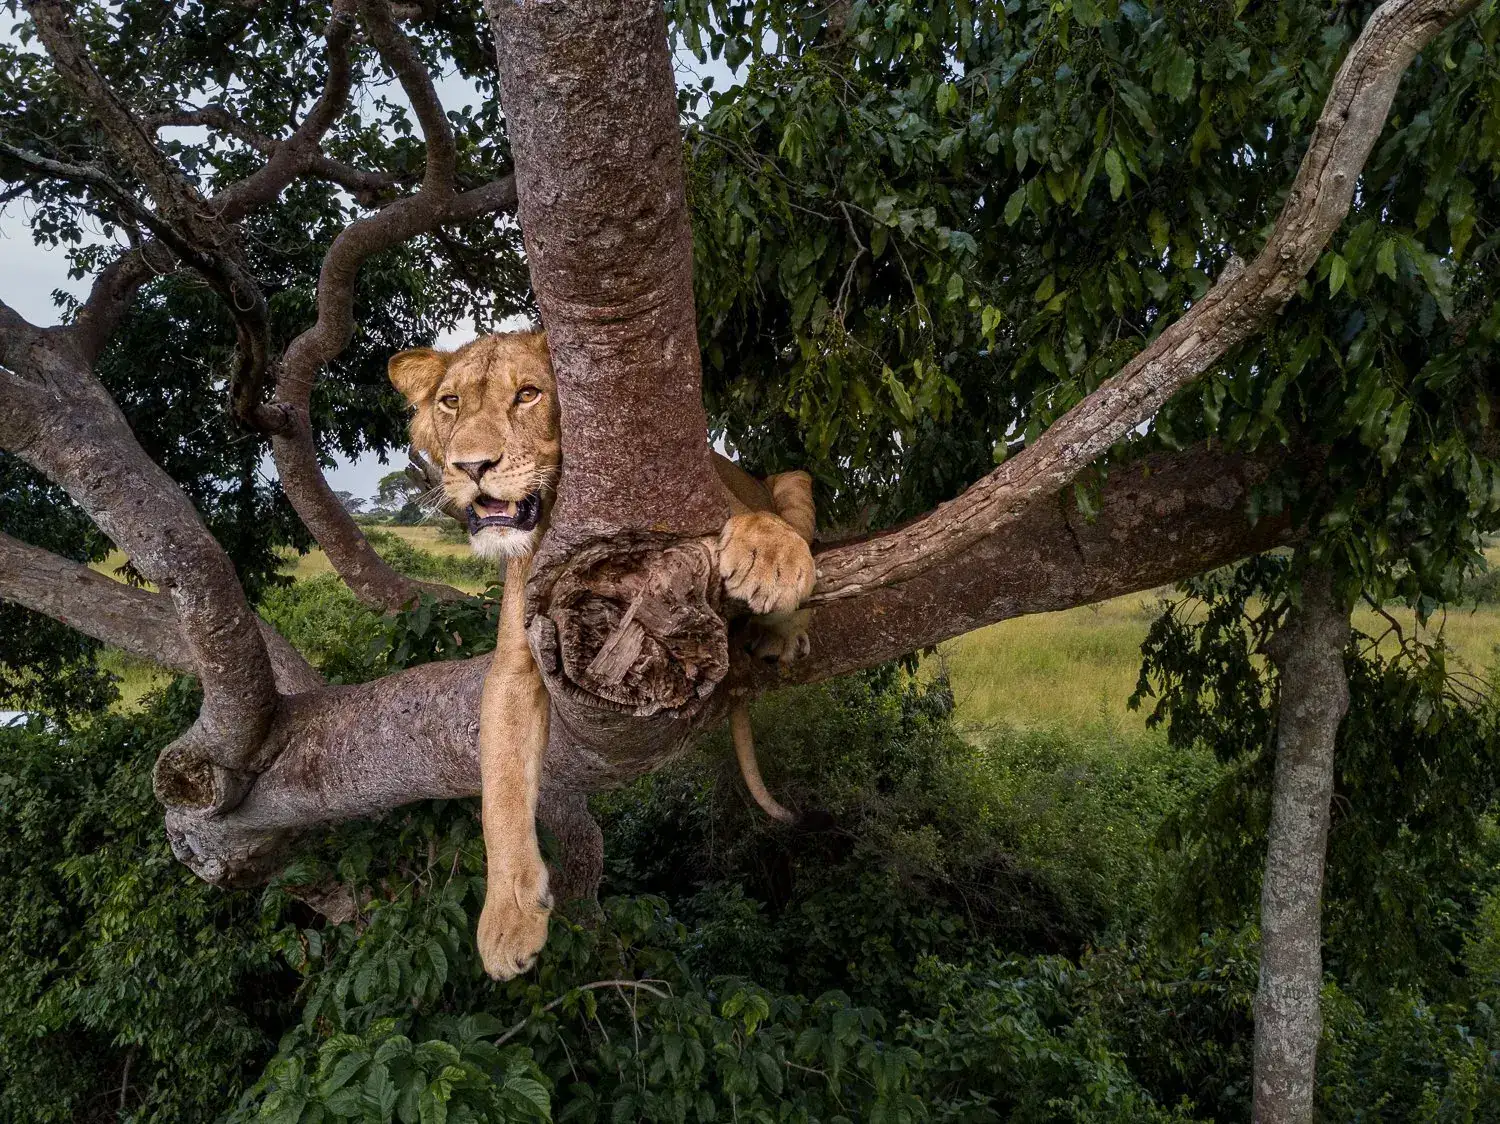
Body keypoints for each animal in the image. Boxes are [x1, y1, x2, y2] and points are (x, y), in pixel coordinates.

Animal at [388, 329, 817, 979]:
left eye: (529, 394)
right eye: (451, 403)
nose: (472, 467)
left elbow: (751, 521)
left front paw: (770, 554)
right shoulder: (513, 665)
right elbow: (500, 792)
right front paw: (508, 918)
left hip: (794, 477)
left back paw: (783, 624)